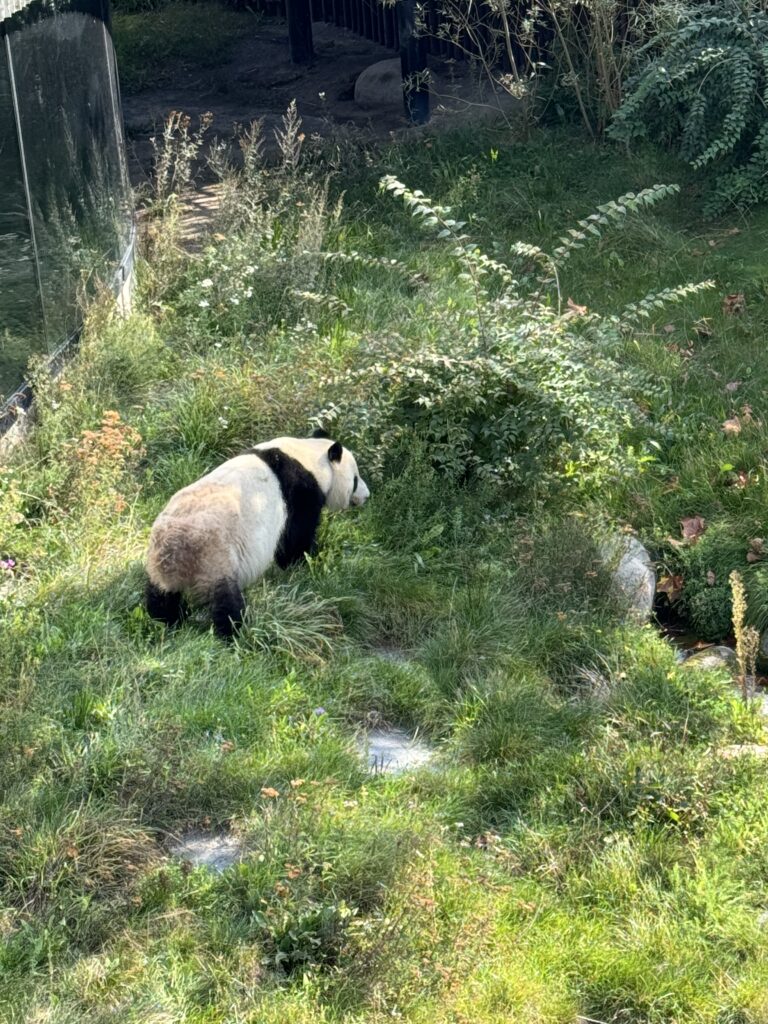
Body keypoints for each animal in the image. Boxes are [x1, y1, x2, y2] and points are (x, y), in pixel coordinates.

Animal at [148, 434, 372, 638]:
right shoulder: (300, 491)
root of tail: (177, 549)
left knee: (161, 596)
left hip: (161, 564)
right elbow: (295, 539)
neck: (311, 458)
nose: (366, 495)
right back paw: (233, 634)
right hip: (215, 557)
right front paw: (306, 564)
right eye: (355, 479)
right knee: (226, 601)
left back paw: (168, 622)